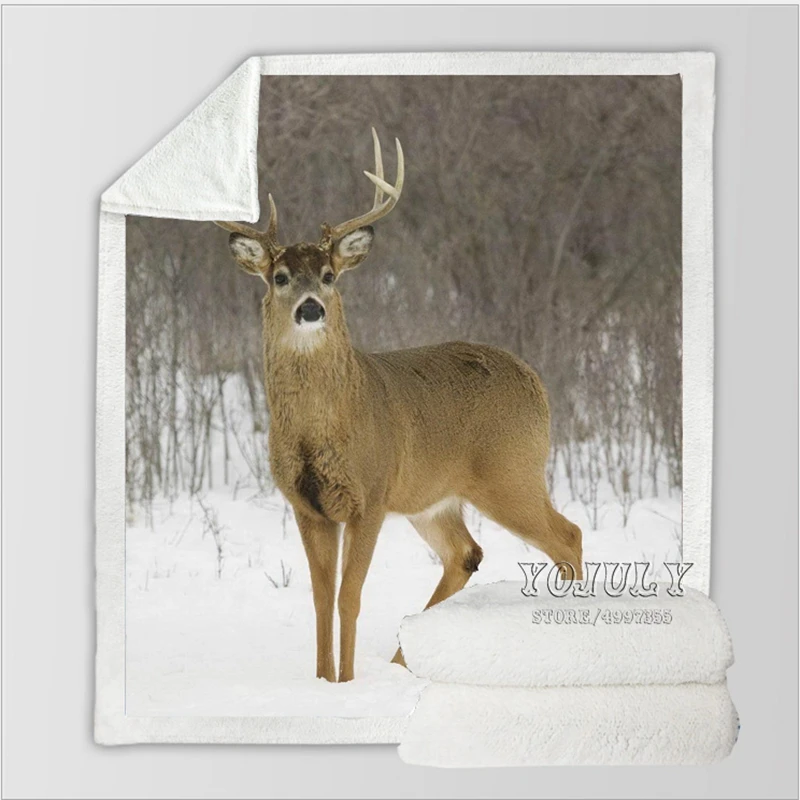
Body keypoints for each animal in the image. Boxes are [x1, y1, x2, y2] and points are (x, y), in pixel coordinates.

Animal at [216, 129, 583, 683]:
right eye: (280, 276)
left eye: (329, 274)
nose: (310, 308)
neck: (321, 429)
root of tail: (535, 381)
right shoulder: (307, 505)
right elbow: (321, 600)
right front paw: (323, 681)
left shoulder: (370, 494)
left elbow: (349, 597)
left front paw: (346, 682)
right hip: (433, 498)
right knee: (467, 554)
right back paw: (403, 663)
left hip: (511, 472)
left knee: (568, 536)